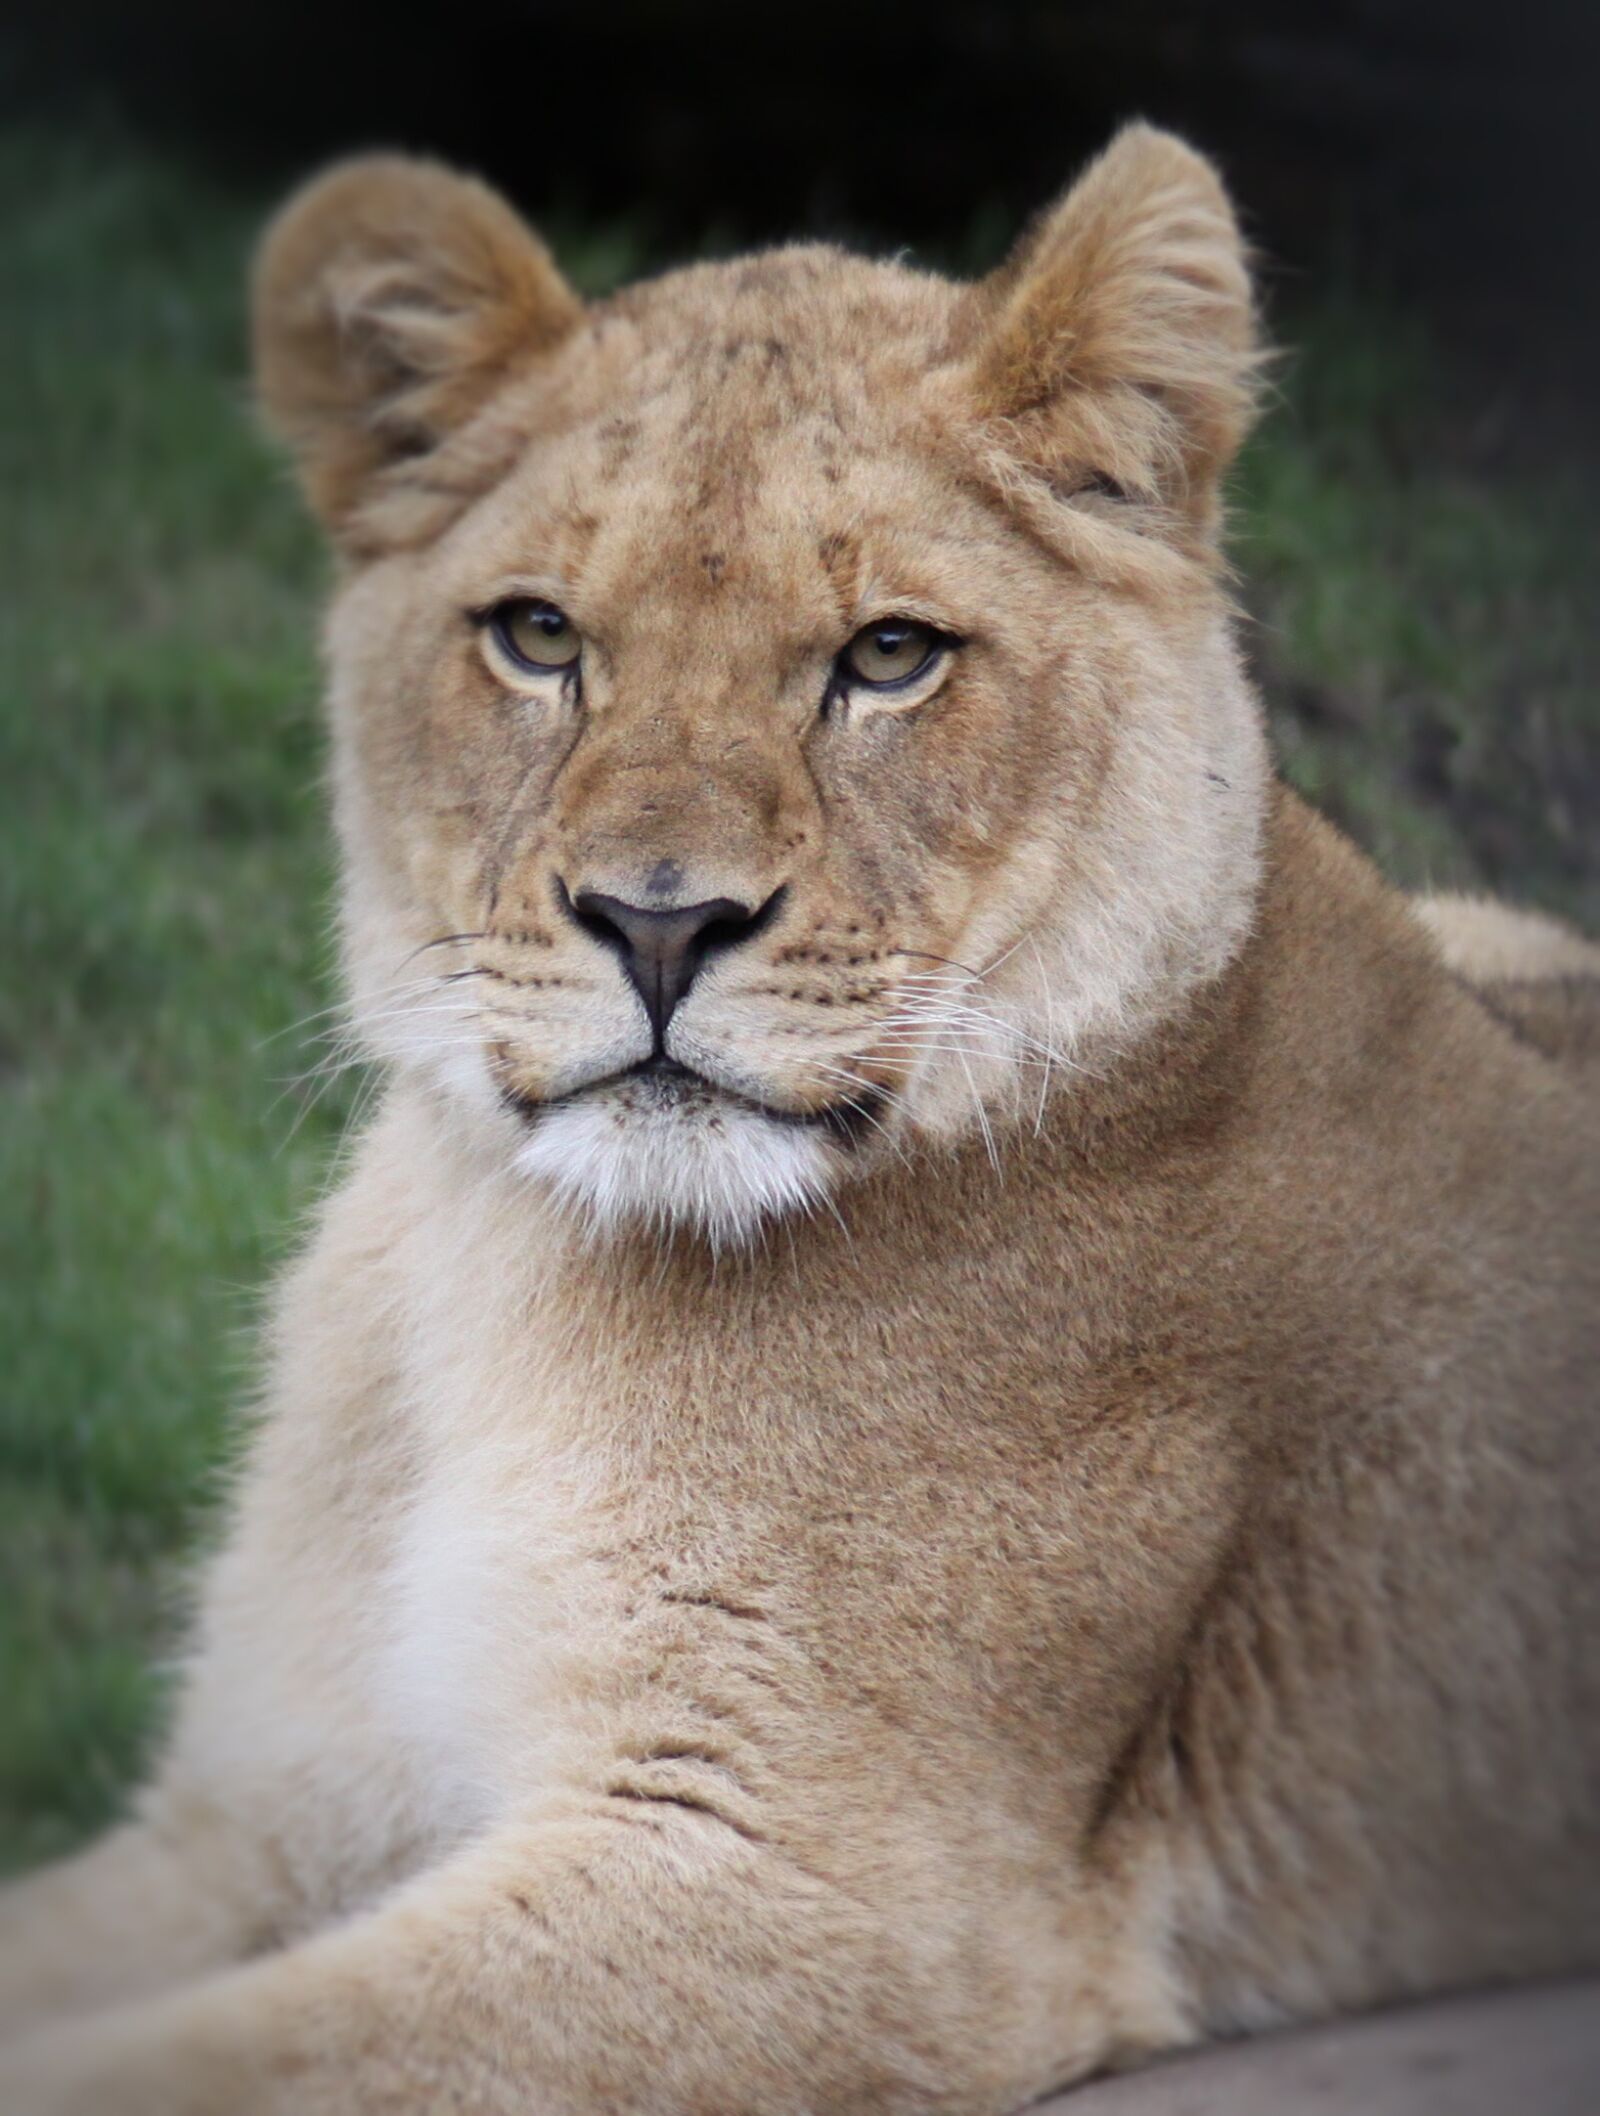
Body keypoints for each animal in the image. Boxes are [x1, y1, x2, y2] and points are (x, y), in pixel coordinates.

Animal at [1, 124, 1596, 2114]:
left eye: (890, 655)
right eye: (539, 636)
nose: (660, 923)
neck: (502, 1258)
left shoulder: (825, 1885)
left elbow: (198, 2059)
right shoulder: (266, 1806)